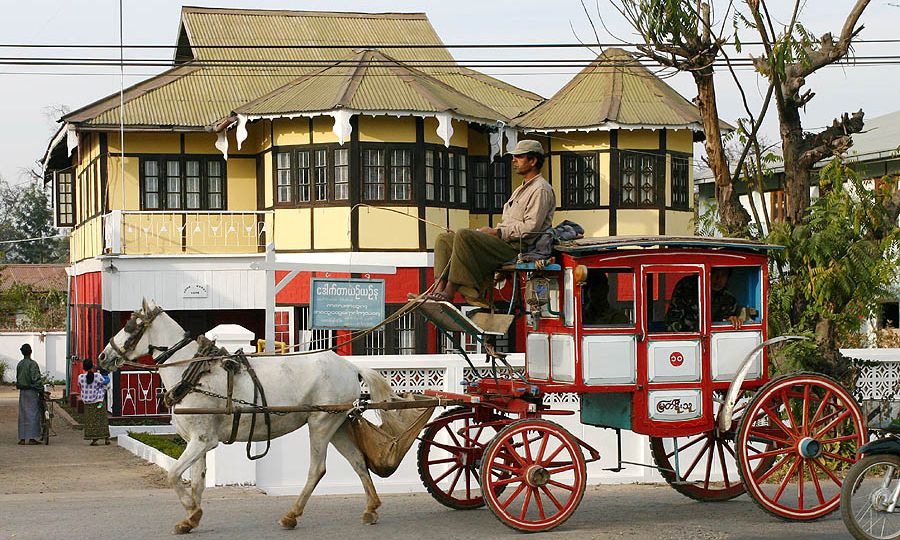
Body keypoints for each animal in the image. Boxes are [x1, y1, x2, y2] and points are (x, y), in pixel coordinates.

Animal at [96, 302, 400, 532]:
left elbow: (173, 475)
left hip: (320, 424)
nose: (103, 357)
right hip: (337, 424)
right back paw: (371, 508)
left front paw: (191, 511)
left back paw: (291, 515)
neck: (192, 373)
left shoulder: (202, 440)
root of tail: (350, 366)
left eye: (131, 326)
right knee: (358, 461)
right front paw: (191, 517)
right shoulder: (198, 441)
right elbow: (196, 481)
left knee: (317, 469)